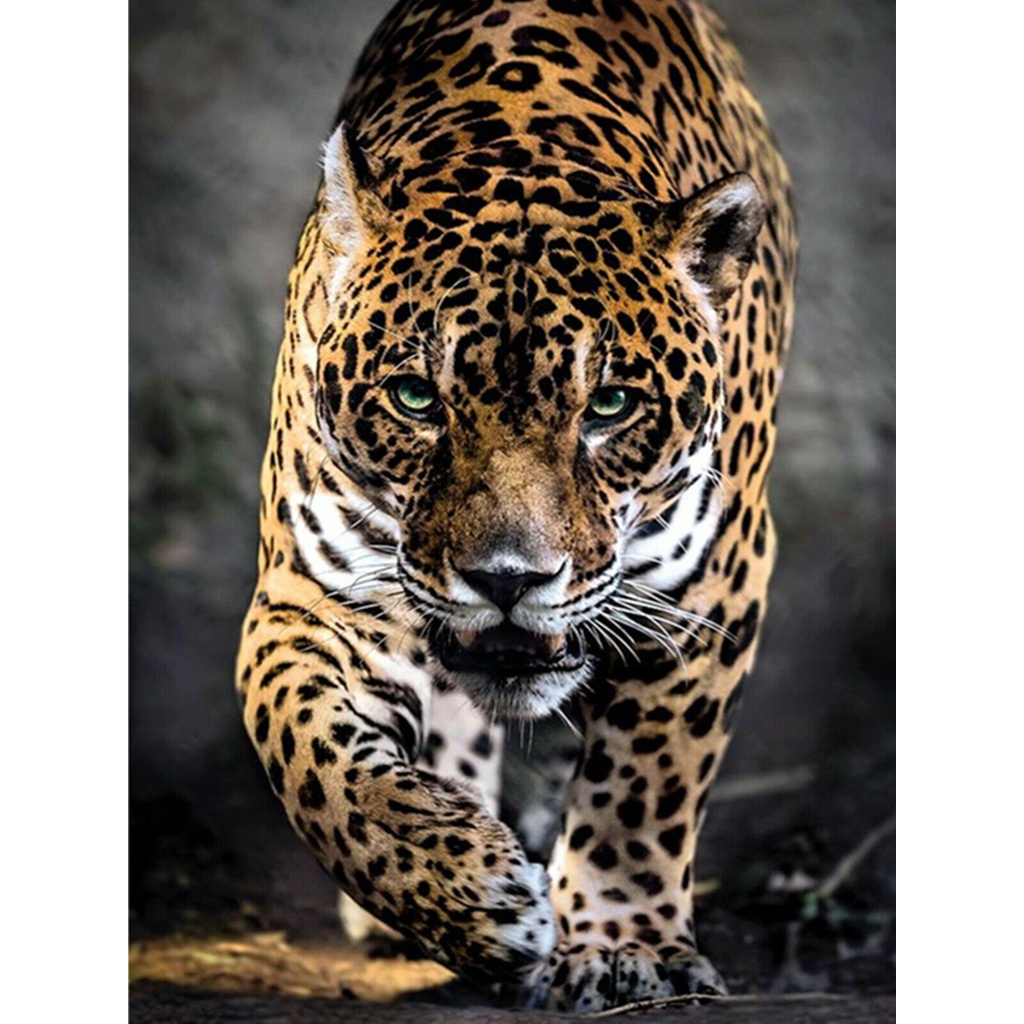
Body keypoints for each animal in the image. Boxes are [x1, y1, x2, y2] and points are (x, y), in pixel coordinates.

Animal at [236, 0, 796, 1010]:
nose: (508, 580)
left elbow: (645, 784)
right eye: (416, 398)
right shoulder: (313, 596)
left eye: (610, 406)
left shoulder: (708, 590)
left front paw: (622, 946)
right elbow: (310, 756)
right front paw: (465, 892)